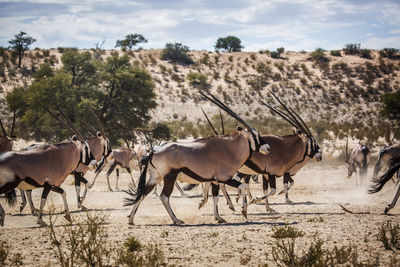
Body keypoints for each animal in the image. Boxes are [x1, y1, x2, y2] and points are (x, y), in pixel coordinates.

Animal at [123, 90, 270, 226]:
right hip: (169, 177)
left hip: (156, 176)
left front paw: (218, 217)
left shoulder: (214, 180)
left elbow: (215, 197)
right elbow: (242, 187)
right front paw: (244, 211)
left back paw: (131, 219)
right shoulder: (223, 178)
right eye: (255, 135)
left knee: (143, 192)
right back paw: (176, 219)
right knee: (164, 196)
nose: (268, 148)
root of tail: (153, 151)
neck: (230, 148)